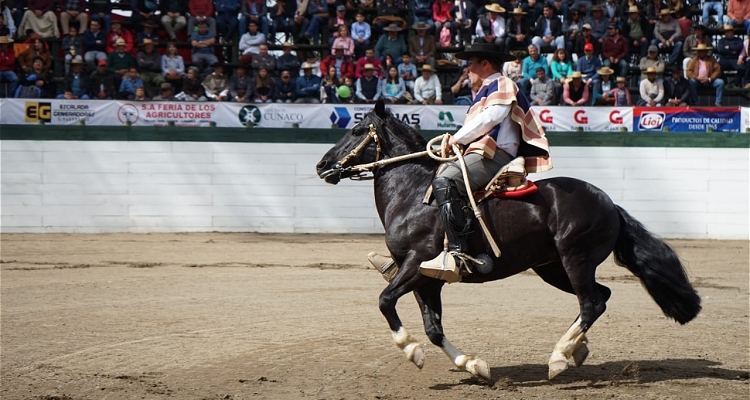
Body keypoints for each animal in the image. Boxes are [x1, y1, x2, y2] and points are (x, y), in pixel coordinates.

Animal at [314, 100, 704, 382]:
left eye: (357, 130)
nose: (322, 166)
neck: (412, 194)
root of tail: (608, 203)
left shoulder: (414, 265)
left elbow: (385, 302)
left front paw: (411, 351)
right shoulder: (426, 279)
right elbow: (433, 328)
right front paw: (473, 365)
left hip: (575, 260)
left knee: (591, 302)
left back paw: (559, 358)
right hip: (552, 268)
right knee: (599, 297)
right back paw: (577, 349)